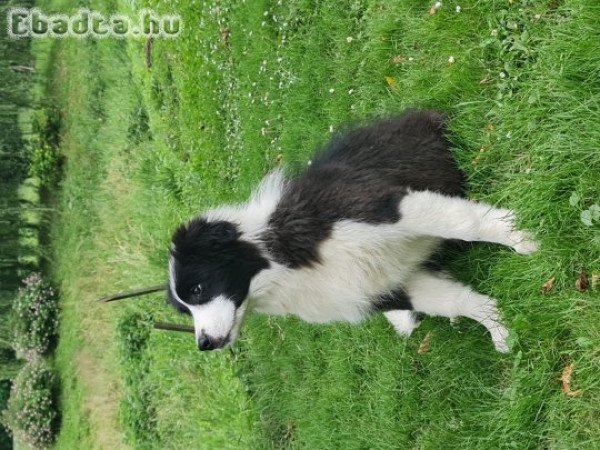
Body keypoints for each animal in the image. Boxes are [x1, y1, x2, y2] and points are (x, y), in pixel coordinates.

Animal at [166, 110, 536, 354]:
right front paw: (500, 330)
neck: (282, 265)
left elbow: (466, 223)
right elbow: (458, 301)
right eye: (184, 309)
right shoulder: (385, 288)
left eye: (198, 289)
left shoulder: (382, 207)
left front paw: (524, 238)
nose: (203, 344)